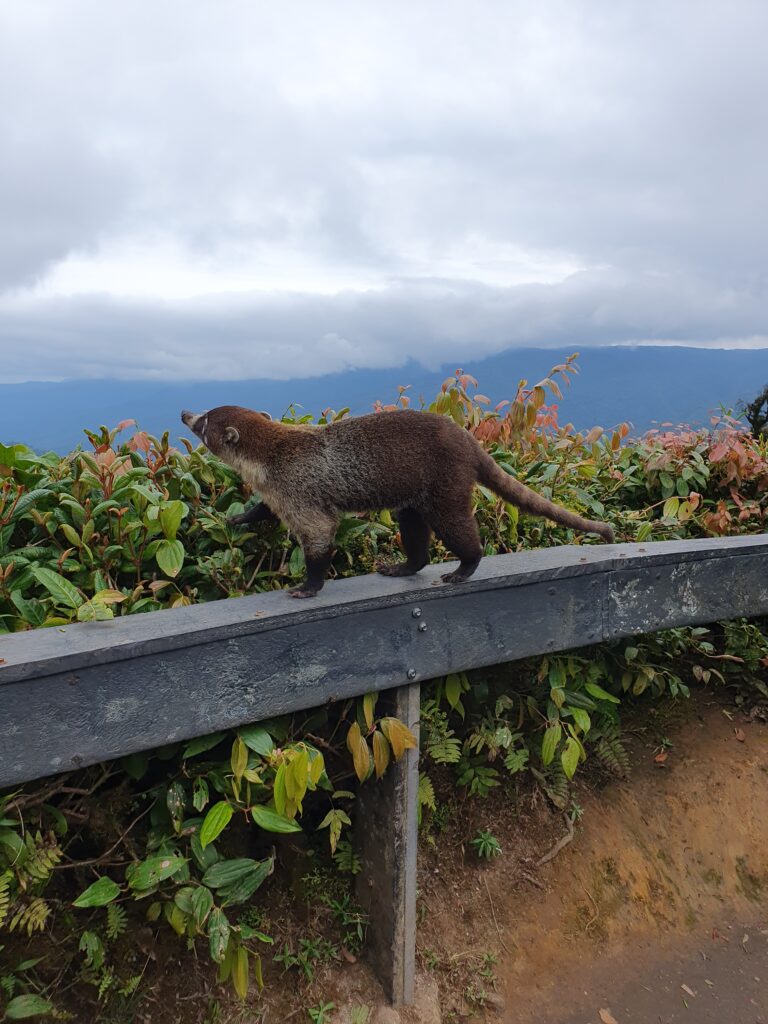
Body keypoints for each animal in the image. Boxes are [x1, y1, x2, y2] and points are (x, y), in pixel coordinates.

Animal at [181, 406, 614, 599]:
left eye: (204, 423)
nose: (185, 413)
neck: (267, 451)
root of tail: (470, 441)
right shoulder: (278, 490)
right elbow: (266, 511)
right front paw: (240, 518)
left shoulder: (297, 486)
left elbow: (321, 532)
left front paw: (311, 583)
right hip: (416, 494)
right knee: (411, 523)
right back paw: (410, 564)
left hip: (446, 482)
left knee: (454, 523)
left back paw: (467, 564)